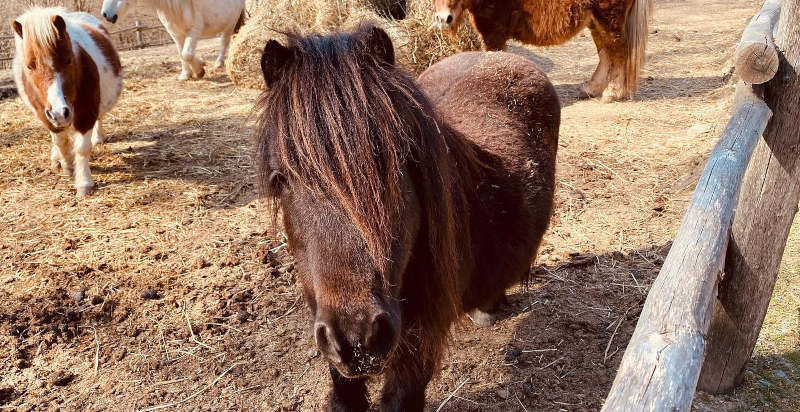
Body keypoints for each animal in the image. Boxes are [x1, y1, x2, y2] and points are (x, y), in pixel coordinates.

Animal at [12, 7, 122, 197]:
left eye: (68, 60)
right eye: (29, 66)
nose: (59, 113)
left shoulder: (86, 113)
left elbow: (82, 148)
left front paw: (84, 183)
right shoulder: (47, 117)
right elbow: (61, 142)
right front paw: (67, 166)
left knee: (99, 119)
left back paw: (98, 137)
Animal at [100, 0, 245, 81]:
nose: (107, 15)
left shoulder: (194, 31)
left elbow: (187, 54)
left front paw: (199, 71)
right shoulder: (175, 34)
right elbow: (182, 54)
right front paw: (186, 74)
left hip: (230, 24)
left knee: (224, 42)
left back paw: (218, 63)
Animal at [432, 0, 653, 102]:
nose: (444, 19)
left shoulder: (494, 33)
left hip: (609, 19)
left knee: (619, 52)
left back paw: (612, 92)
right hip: (595, 20)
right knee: (606, 54)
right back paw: (591, 89)